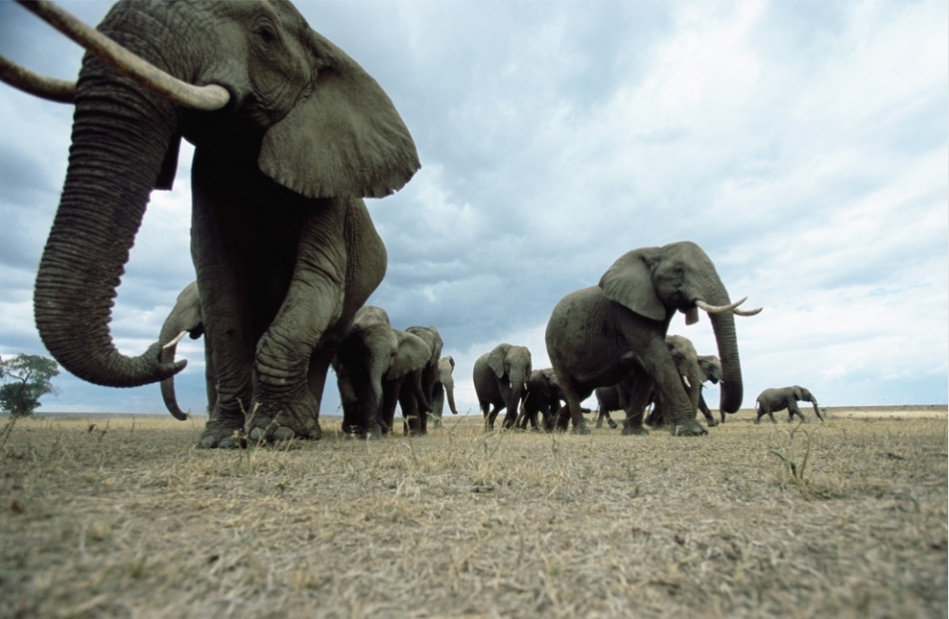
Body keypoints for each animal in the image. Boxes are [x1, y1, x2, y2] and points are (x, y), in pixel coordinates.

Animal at [2, 0, 418, 446]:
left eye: (266, 34)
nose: (166, 354)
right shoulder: (205, 180)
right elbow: (221, 292)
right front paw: (221, 440)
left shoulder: (328, 187)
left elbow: (317, 282)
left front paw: (274, 434)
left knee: (324, 339)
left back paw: (303, 430)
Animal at [544, 241, 760, 436]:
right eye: (679, 270)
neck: (655, 251)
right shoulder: (627, 313)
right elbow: (656, 357)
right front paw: (694, 432)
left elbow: (646, 366)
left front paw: (636, 433)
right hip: (554, 346)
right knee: (570, 387)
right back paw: (581, 432)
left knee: (582, 390)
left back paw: (561, 429)